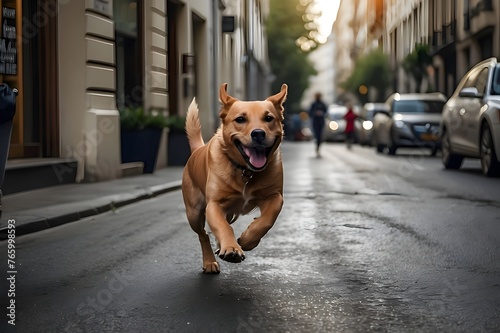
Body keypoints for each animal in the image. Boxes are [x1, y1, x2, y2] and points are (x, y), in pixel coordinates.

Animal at [182, 82, 288, 272]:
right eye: (240, 119)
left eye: (269, 118)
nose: (258, 133)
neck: (246, 171)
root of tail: (197, 150)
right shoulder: (214, 204)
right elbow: (223, 227)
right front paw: (231, 248)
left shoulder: (275, 196)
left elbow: (267, 219)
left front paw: (247, 240)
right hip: (193, 212)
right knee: (204, 234)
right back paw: (209, 261)